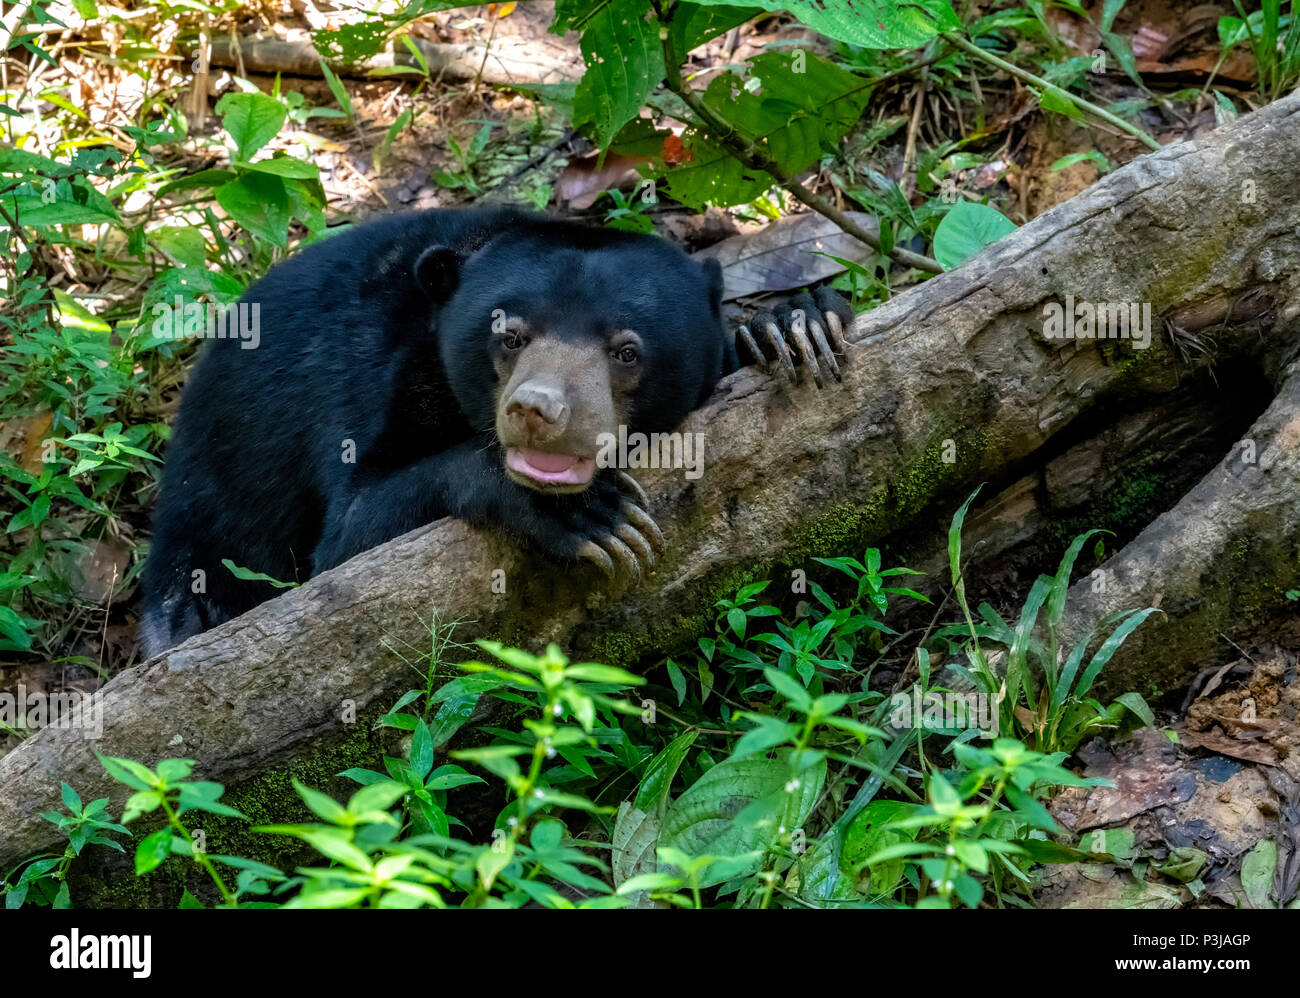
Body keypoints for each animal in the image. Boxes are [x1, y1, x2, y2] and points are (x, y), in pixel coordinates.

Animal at [139, 205, 852, 654]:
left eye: (626, 351)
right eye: (509, 336)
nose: (538, 411)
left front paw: (796, 325)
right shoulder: (374, 378)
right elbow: (348, 538)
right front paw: (590, 517)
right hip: (216, 493)